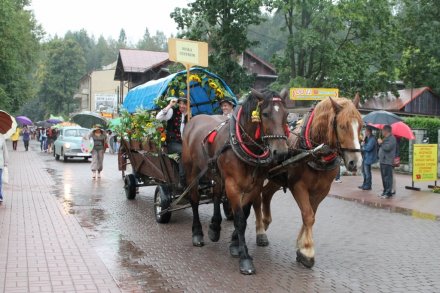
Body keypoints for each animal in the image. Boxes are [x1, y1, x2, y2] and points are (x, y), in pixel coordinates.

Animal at [180, 89, 290, 274]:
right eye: (265, 114)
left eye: (286, 114)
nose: (281, 152)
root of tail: (193, 120)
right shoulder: (232, 186)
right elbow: (239, 219)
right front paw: (245, 257)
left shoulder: (254, 186)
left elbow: (244, 214)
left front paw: (234, 244)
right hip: (191, 171)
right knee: (194, 199)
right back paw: (197, 233)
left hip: (215, 173)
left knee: (216, 193)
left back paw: (214, 227)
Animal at [256, 95, 362, 266]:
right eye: (342, 126)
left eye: (361, 126)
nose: (355, 162)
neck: (315, 152)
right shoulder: (298, 186)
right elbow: (307, 215)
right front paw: (307, 250)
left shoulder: (322, 190)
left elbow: (312, 214)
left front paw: (301, 245)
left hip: (276, 177)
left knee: (265, 194)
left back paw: (264, 223)